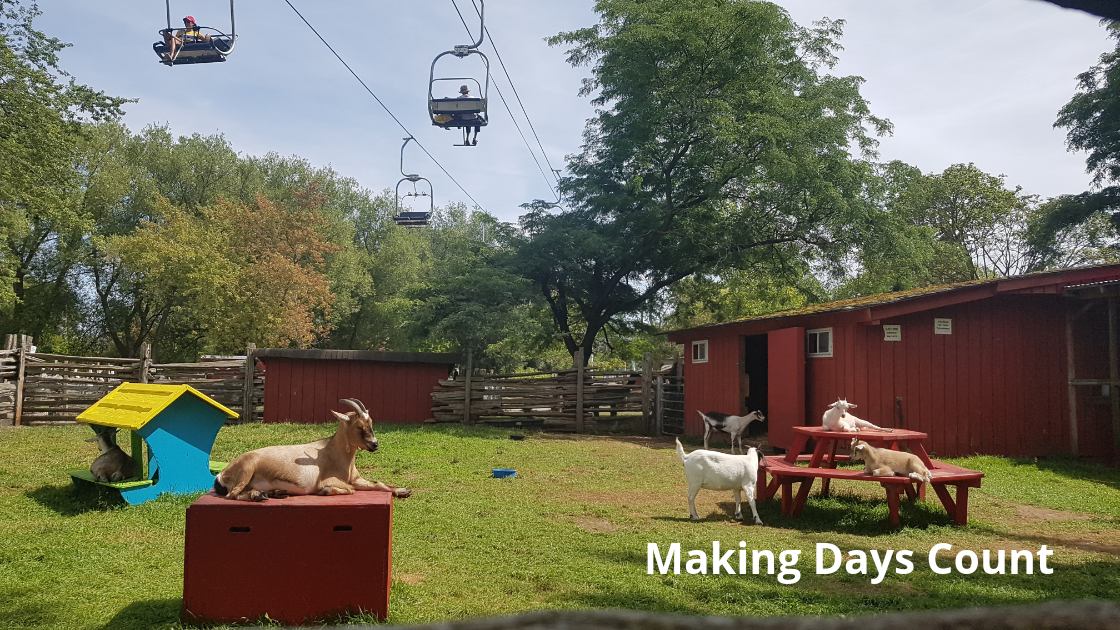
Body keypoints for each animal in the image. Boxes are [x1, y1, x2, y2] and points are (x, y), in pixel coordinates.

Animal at [213, 396, 412, 499]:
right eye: (359, 426)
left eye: (370, 423)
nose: (374, 444)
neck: (336, 454)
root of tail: (221, 474)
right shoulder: (328, 480)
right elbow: (350, 489)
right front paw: (326, 491)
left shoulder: (356, 479)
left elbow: (378, 484)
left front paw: (402, 491)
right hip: (247, 468)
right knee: (232, 494)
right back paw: (259, 496)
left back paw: (274, 492)